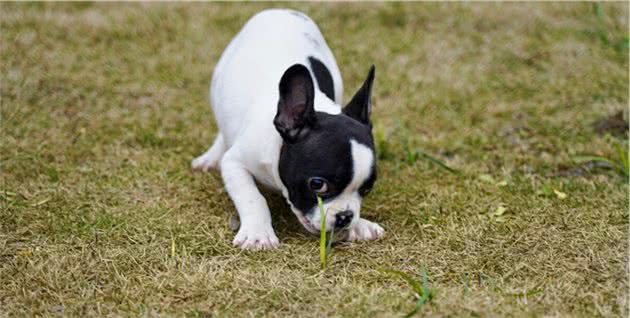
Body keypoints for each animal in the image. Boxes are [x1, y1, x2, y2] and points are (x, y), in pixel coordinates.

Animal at [193, 8, 382, 250]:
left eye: (367, 189)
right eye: (317, 185)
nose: (345, 217)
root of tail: (281, 10)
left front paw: (359, 224)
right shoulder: (235, 163)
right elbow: (253, 198)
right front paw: (258, 233)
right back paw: (211, 157)